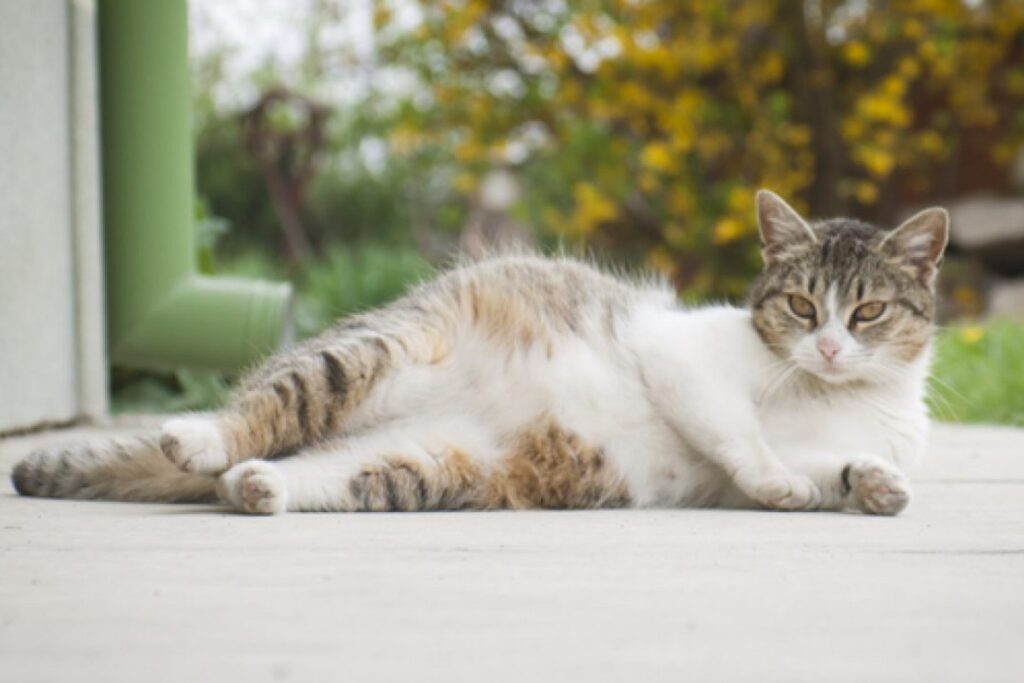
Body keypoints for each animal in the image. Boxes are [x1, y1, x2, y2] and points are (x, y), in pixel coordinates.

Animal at [9, 189, 950, 516]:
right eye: (801, 305)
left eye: (867, 311)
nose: (829, 347)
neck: (832, 396)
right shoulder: (682, 356)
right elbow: (740, 435)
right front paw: (780, 479)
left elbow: (836, 467)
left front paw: (874, 485)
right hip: (370, 354)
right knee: (258, 410)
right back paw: (200, 438)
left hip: (418, 463)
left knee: (296, 467)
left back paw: (257, 487)